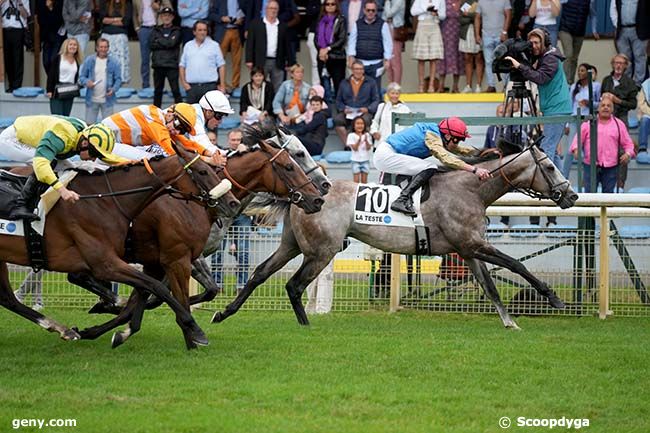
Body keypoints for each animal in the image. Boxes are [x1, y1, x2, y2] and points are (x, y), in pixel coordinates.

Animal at [0, 143, 238, 346]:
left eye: (214, 169)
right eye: (203, 171)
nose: (232, 202)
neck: (103, 200)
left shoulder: (159, 261)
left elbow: (148, 291)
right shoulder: (109, 263)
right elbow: (158, 288)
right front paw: (193, 329)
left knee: (8, 299)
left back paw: (62, 328)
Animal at [67, 133, 324, 346]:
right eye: (294, 160)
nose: (320, 193)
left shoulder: (168, 260)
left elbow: (196, 291)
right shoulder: (181, 257)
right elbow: (161, 295)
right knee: (79, 275)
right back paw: (108, 301)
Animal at [211, 143, 576, 330]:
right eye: (549, 167)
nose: (570, 195)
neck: (470, 188)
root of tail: (303, 194)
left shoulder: (468, 249)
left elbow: (490, 285)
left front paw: (509, 321)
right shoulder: (473, 244)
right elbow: (517, 264)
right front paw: (554, 298)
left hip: (292, 244)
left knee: (260, 273)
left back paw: (223, 312)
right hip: (321, 250)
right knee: (294, 285)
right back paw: (305, 326)